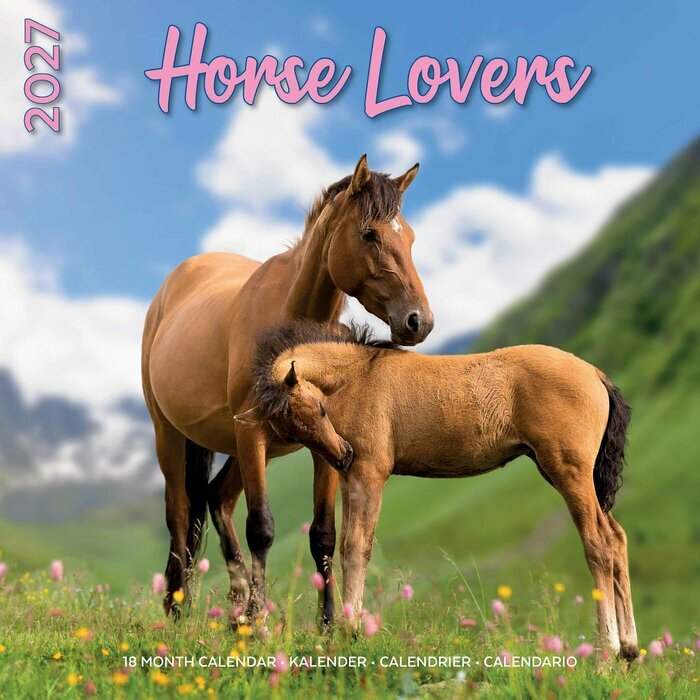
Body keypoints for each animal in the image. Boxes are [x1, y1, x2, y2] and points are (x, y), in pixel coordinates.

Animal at [141, 156, 434, 622]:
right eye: (369, 234)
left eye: (410, 237)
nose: (418, 321)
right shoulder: (252, 434)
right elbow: (261, 527)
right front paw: (259, 620)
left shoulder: (327, 443)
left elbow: (323, 535)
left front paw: (327, 623)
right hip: (171, 435)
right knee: (181, 514)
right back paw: (179, 607)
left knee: (216, 499)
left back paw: (237, 602)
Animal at [236, 320, 639, 660]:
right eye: (292, 433)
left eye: (320, 409)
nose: (342, 454)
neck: (359, 375)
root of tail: (595, 373)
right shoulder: (352, 478)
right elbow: (348, 546)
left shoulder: (369, 472)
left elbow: (357, 548)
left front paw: (351, 630)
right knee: (618, 537)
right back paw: (630, 651)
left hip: (569, 471)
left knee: (599, 544)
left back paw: (607, 652)